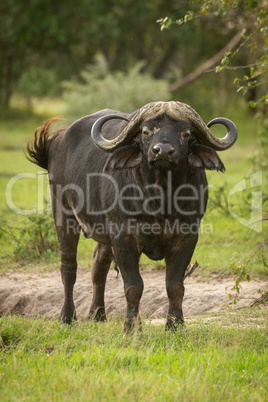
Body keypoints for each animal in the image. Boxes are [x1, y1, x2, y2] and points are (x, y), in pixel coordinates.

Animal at [26, 99, 237, 332]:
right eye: (146, 131)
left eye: (186, 133)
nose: (162, 151)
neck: (160, 198)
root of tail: (57, 139)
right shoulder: (123, 237)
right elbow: (134, 286)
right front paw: (132, 329)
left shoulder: (187, 236)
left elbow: (175, 285)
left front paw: (175, 326)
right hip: (64, 215)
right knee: (69, 268)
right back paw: (67, 319)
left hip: (104, 234)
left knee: (98, 266)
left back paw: (97, 315)